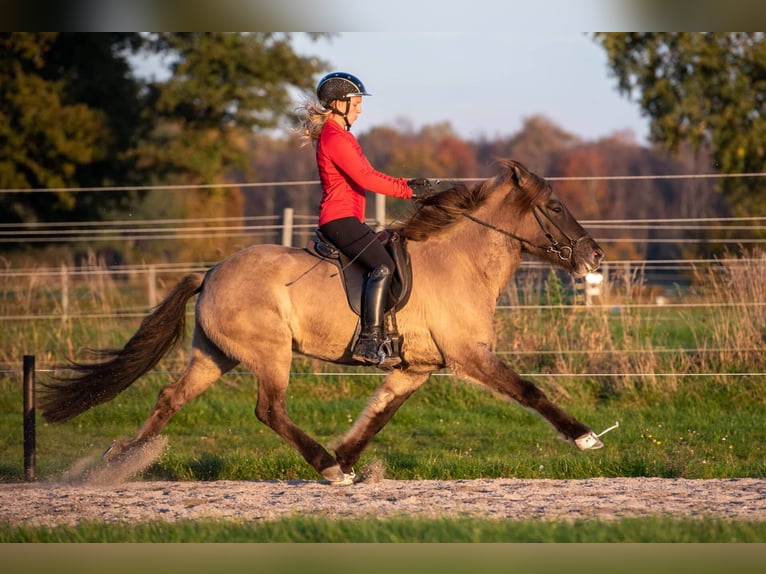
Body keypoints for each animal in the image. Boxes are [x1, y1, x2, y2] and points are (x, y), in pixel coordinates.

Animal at [40, 158, 605, 485]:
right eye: (555, 206)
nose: (595, 257)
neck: (459, 259)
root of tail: (212, 272)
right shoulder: (469, 355)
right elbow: (529, 390)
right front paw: (585, 438)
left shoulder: (415, 369)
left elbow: (376, 417)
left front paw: (349, 456)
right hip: (269, 353)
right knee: (269, 410)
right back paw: (324, 466)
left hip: (214, 355)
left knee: (170, 398)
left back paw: (117, 461)